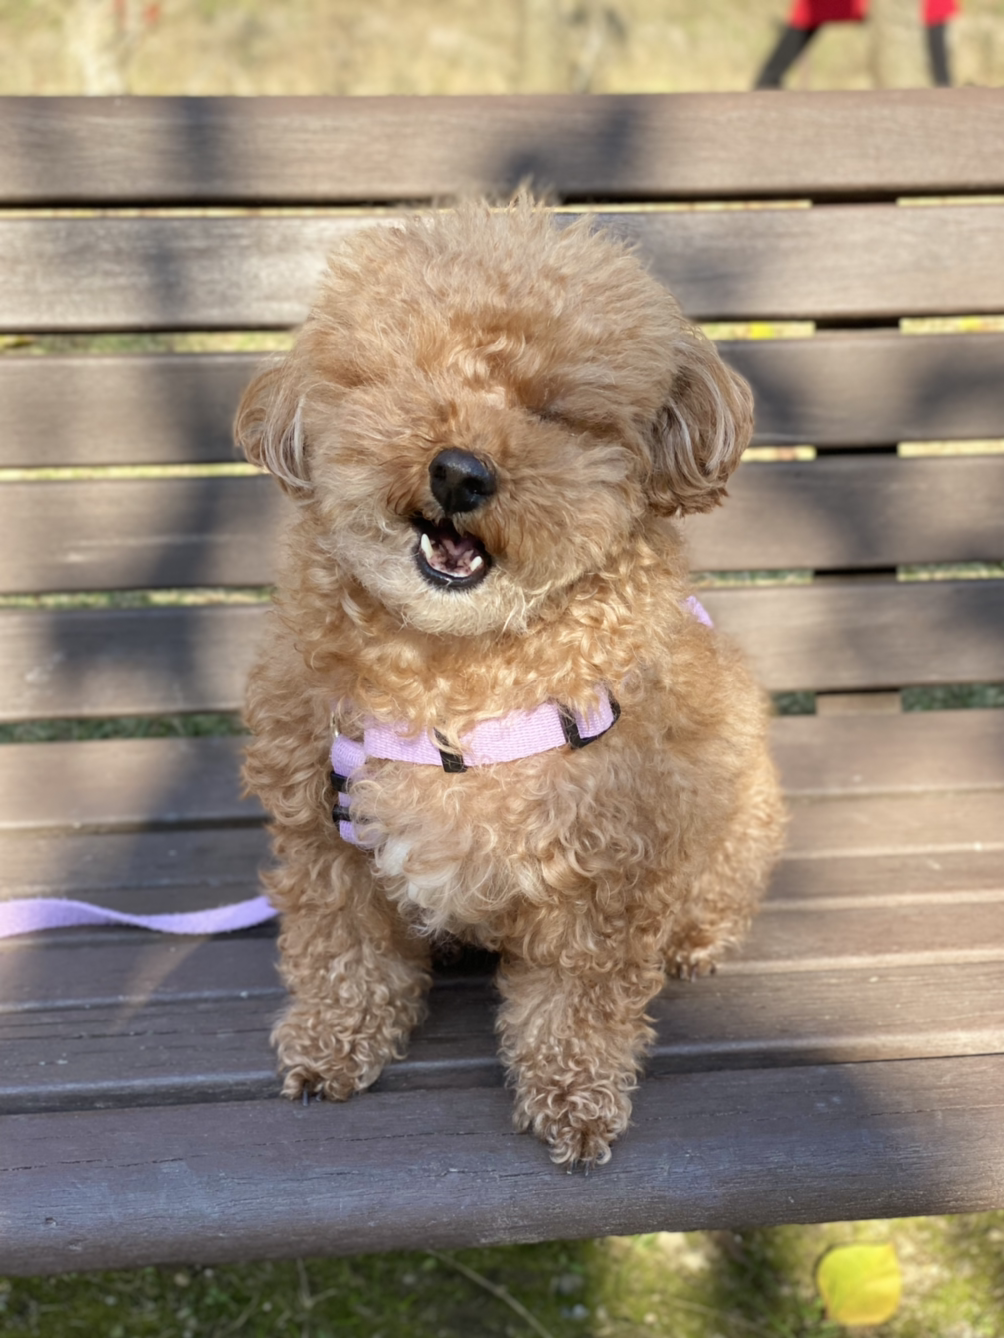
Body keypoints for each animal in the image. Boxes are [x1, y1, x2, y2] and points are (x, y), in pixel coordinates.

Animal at [235, 196, 785, 1167]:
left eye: (554, 412)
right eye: (407, 379)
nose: (459, 471)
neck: (452, 678)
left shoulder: (605, 865)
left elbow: (578, 1000)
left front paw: (573, 1099)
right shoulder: (324, 837)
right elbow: (343, 950)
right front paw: (333, 1043)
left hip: (740, 818)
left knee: (716, 892)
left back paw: (695, 940)